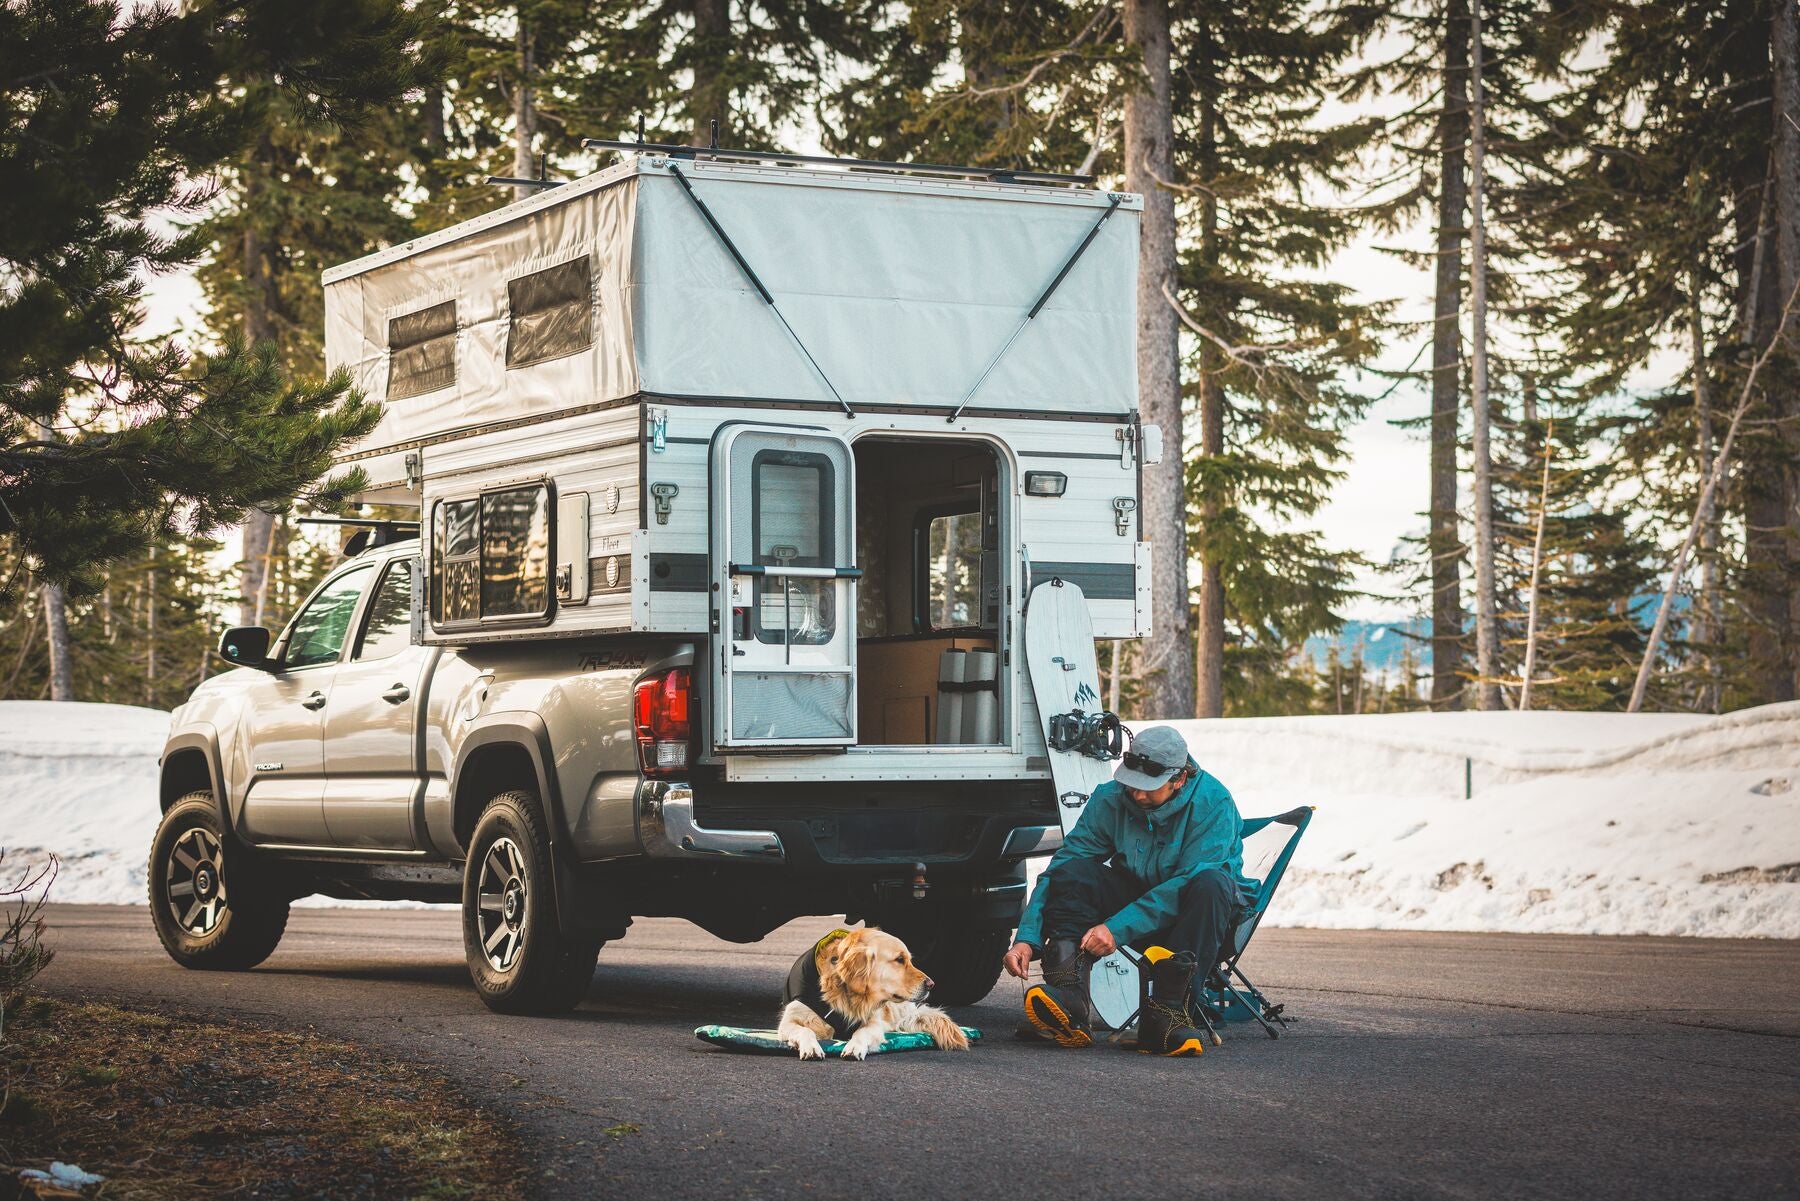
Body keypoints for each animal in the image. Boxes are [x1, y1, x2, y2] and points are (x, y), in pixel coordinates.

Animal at [774, 929, 972, 1058]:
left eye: (908, 959)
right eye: (900, 959)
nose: (931, 984)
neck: (845, 994)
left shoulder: (874, 1022)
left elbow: (862, 1032)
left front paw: (854, 1047)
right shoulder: (788, 1022)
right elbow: (805, 1030)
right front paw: (811, 1047)